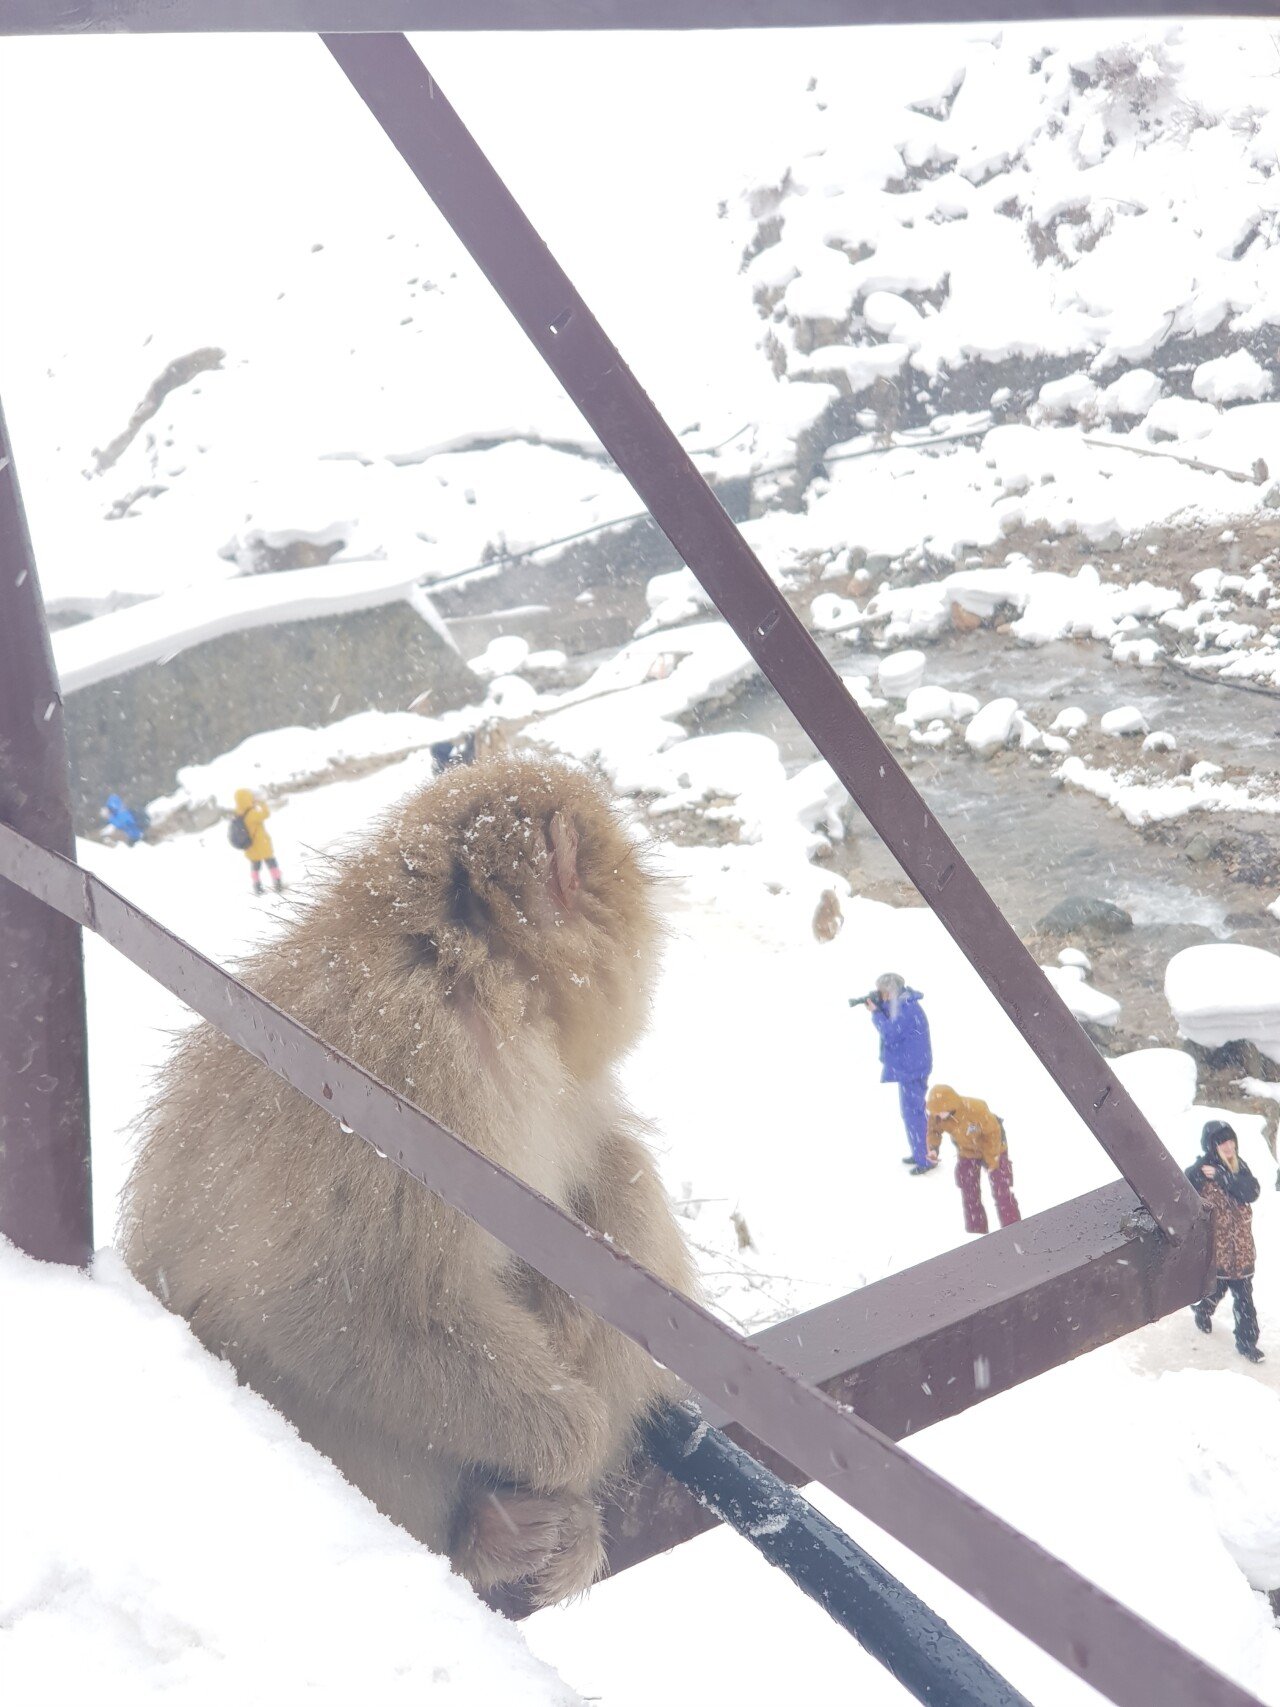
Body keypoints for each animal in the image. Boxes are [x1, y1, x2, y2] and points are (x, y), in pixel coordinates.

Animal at [122, 754, 692, 1604]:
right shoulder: (406, 1062)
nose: (652, 909)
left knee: (621, 1171)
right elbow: (328, 1295)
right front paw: (574, 1440)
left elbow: (592, 1174)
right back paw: (486, 1535)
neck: (477, 971)